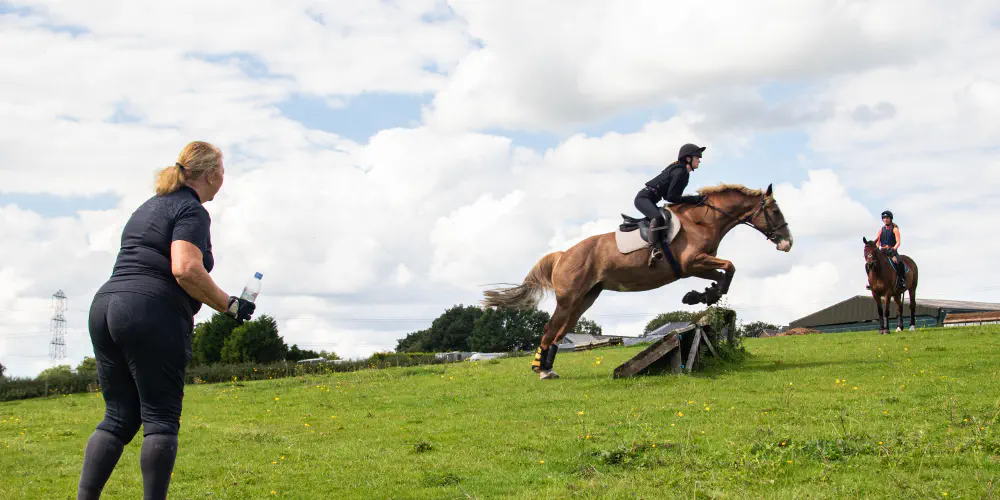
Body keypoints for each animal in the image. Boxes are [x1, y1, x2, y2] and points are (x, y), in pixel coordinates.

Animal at [482, 183, 794, 379]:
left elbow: (726, 273)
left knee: (560, 332)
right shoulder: (691, 262)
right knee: (550, 329)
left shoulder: (696, 265)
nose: (787, 243)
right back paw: (542, 370)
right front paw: (701, 296)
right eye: (775, 211)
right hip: (569, 298)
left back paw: (548, 367)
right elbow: (730, 267)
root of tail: (562, 255)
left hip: (585, 298)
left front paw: (704, 295)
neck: (703, 220)